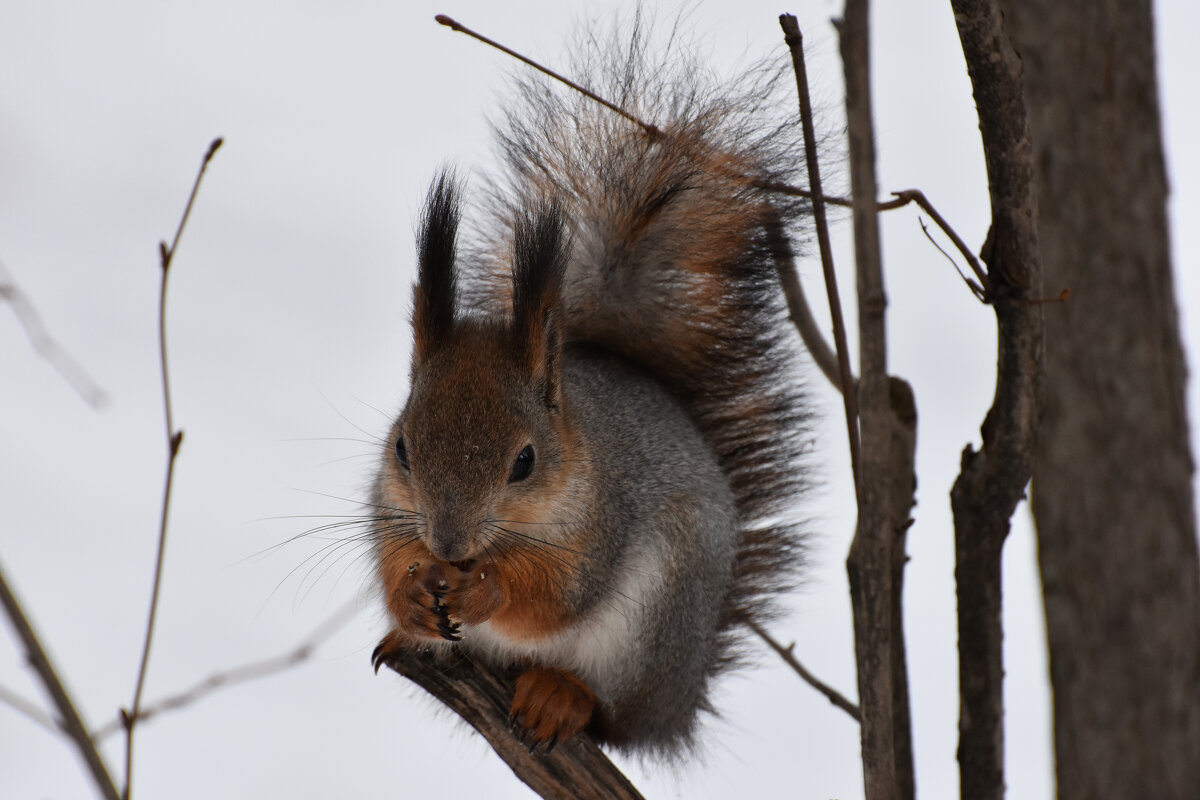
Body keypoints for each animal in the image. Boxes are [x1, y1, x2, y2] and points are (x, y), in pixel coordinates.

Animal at [367, 17, 816, 758]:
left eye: (525, 461)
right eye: (401, 447)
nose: (450, 548)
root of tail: (679, 703)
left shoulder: (602, 524)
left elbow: (555, 597)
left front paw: (486, 590)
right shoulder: (389, 508)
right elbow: (389, 560)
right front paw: (408, 596)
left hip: (651, 628)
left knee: (611, 715)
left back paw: (561, 695)